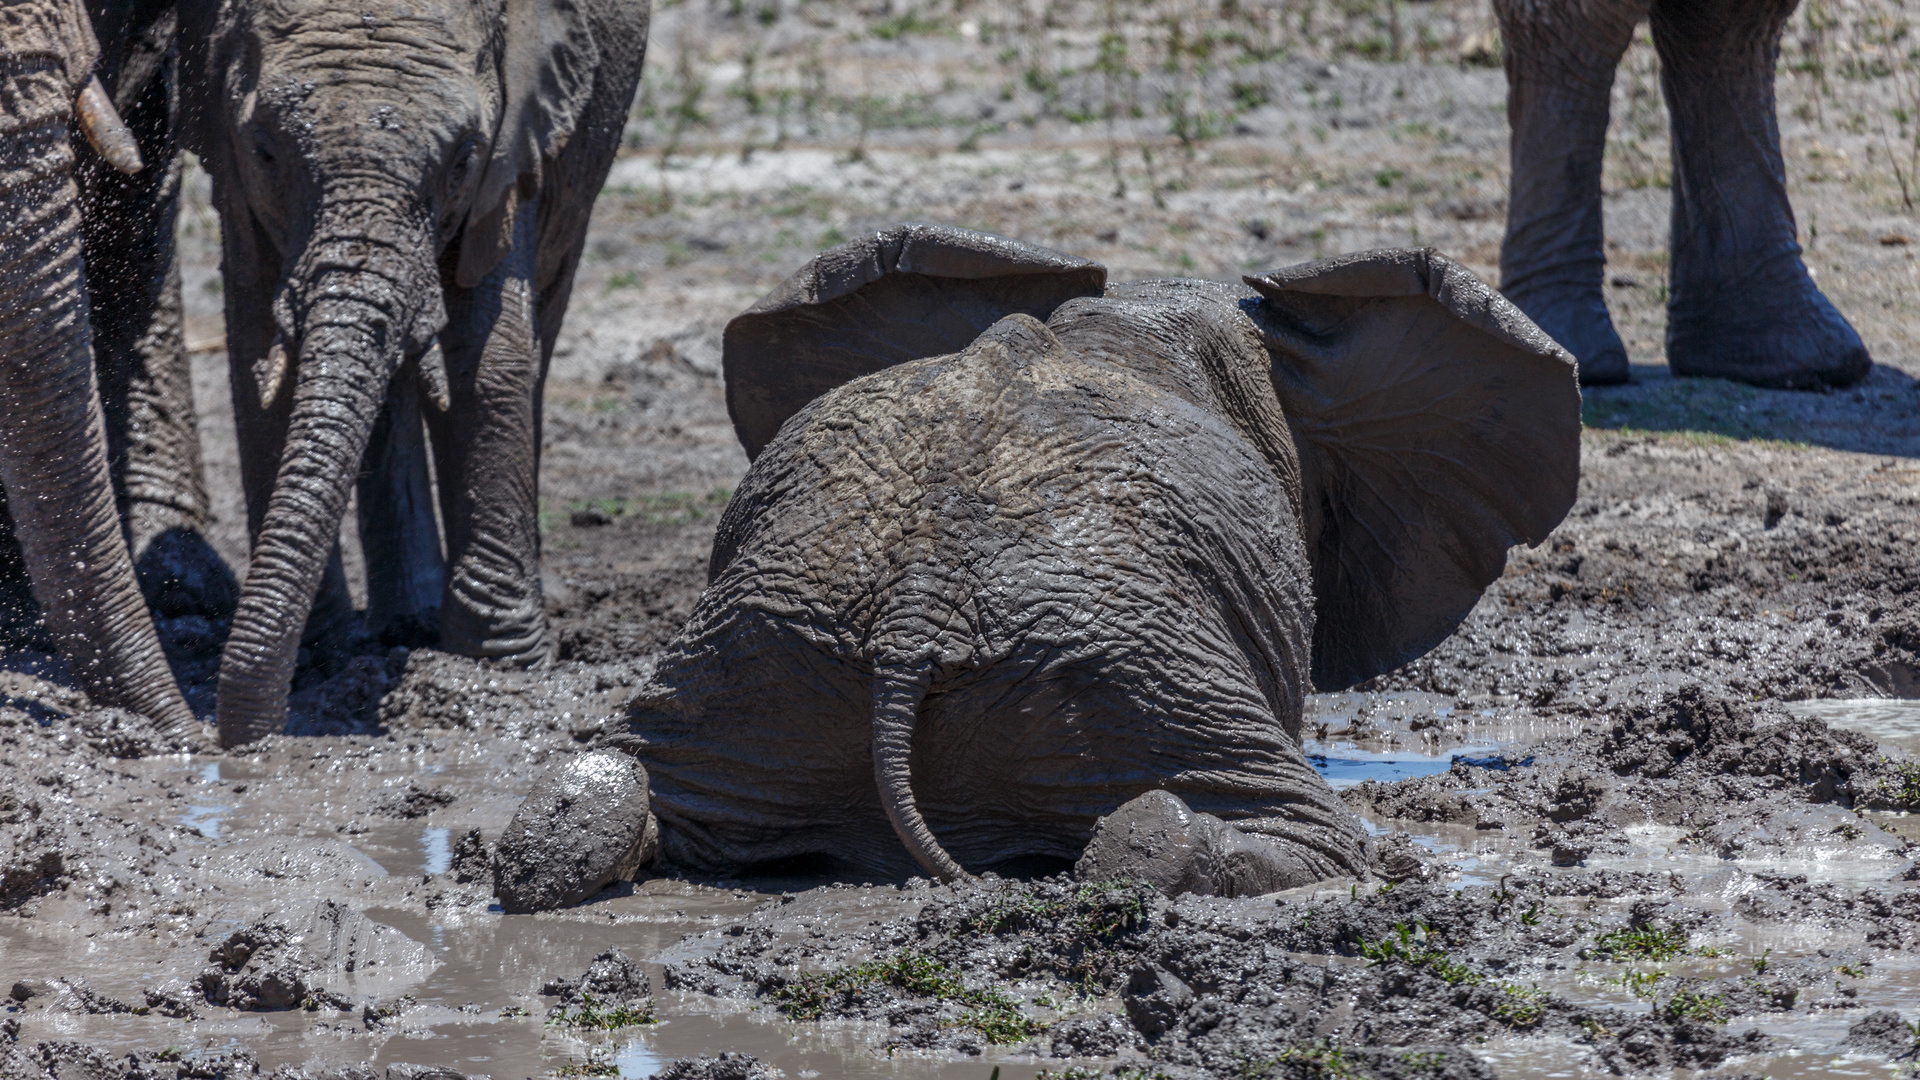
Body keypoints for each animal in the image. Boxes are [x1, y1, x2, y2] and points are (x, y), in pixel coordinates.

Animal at [181, 0, 660, 737]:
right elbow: (258, 354)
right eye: (264, 150)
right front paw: (320, 658)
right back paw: (403, 626)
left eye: (463, 158)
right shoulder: (233, 166)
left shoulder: (513, 139)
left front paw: (500, 666)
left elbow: (486, 356)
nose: (242, 746)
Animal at [487, 220, 1582, 907]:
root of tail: (913, 616)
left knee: (607, 783)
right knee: (1301, 831)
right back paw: (1160, 846)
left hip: (754, 656)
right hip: (1121, 679)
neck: (1127, 320)